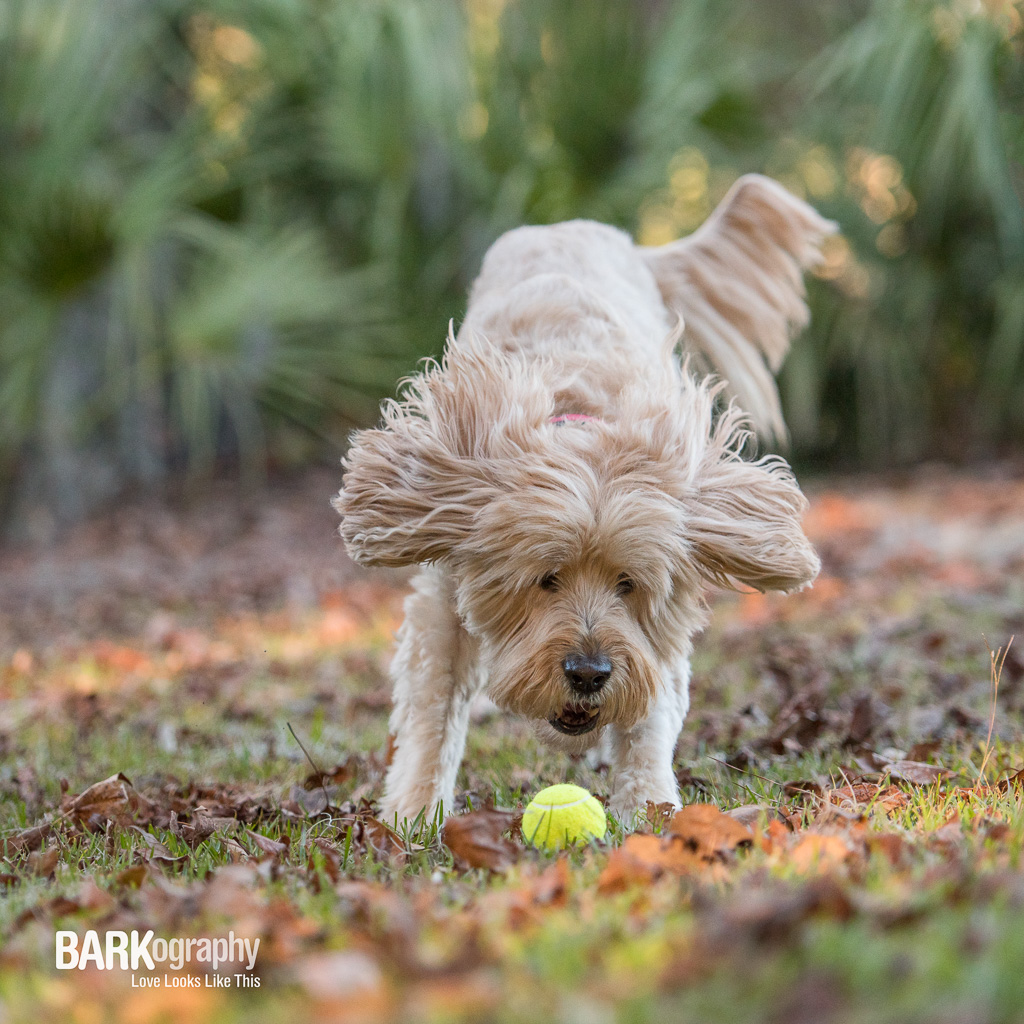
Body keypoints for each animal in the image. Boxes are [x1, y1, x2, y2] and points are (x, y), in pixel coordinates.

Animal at [331, 176, 835, 827]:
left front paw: (648, 809)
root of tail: (575, 226)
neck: (578, 422)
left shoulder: (658, 624)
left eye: (628, 584)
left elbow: (650, 711)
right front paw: (415, 812)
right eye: (545, 578)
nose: (590, 674)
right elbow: (435, 708)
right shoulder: (444, 596)